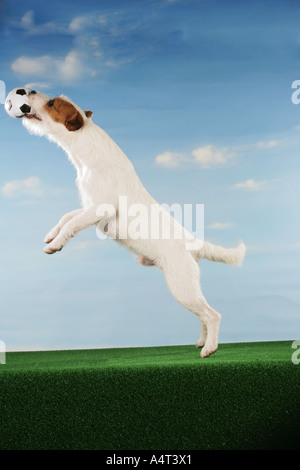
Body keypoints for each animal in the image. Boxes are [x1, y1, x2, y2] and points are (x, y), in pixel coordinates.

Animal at [22, 91, 245, 356]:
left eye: (52, 103)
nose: (29, 92)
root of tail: (193, 243)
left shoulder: (100, 208)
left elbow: (71, 223)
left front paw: (54, 245)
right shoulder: (88, 207)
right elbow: (67, 217)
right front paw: (50, 234)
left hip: (183, 289)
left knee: (212, 315)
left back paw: (209, 348)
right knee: (203, 317)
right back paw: (202, 341)